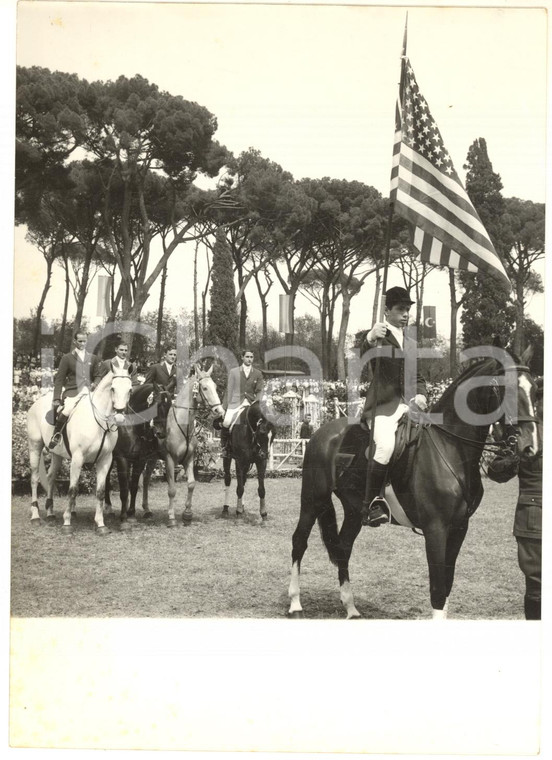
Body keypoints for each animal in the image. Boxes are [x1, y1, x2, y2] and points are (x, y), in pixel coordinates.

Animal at [26, 366, 133, 536]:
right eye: (112, 388)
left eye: (130, 389)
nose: (120, 418)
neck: (99, 423)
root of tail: (36, 403)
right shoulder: (77, 458)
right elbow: (73, 489)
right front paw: (67, 523)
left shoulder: (105, 460)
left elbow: (100, 491)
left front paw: (100, 524)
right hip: (34, 446)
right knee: (34, 479)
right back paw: (35, 516)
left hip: (56, 454)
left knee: (50, 477)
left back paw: (50, 513)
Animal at [103, 382, 171, 524]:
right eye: (157, 405)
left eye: (169, 407)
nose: (161, 434)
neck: (132, 425)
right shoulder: (122, 458)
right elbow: (124, 488)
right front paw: (124, 516)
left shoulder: (140, 459)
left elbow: (133, 486)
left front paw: (131, 512)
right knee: (106, 478)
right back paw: (108, 508)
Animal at [288, 352, 540, 616]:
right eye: (508, 389)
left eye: (535, 390)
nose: (530, 447)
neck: (450, 446)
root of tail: (320, 433)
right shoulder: (435, 529)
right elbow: (437, 589)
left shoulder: (459, 528)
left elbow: (447, 584)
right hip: (313, 500)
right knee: (299, 542)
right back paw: (295, 603)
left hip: (355, 510)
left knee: (343, 548)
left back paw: (351, 608)